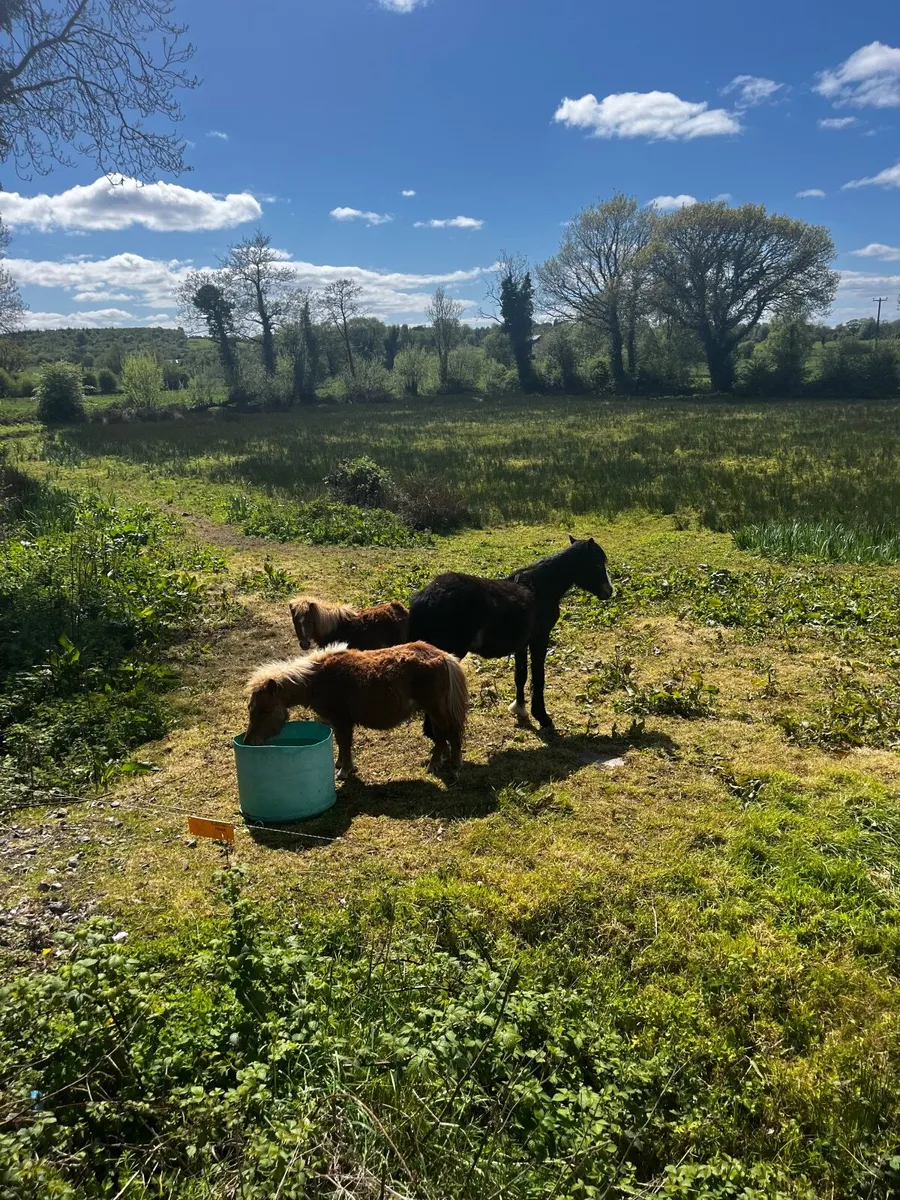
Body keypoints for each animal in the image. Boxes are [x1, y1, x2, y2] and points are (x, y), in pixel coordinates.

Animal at [244, 642, 468, 780]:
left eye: (265, 710)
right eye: (251, 708)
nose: (249, 742)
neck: (317, 680)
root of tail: (443, 656)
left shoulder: (342, 720)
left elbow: (344, 743)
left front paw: (344, 771)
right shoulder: (337, 722)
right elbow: (340, 743)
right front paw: (340, 765)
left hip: (436, 708)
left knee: (452, 734)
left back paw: (454, 769)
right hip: (433, 710)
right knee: (441, 736)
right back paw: (435, 765)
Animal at [408, 536, 613, 731]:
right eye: (597, 564)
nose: (609, 591)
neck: (539, 588)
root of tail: (424, 597)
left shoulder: (522, 644)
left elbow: (520, 675)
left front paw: (519, 709)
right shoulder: (539, 638)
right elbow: (538, 676)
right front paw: (542, 717)